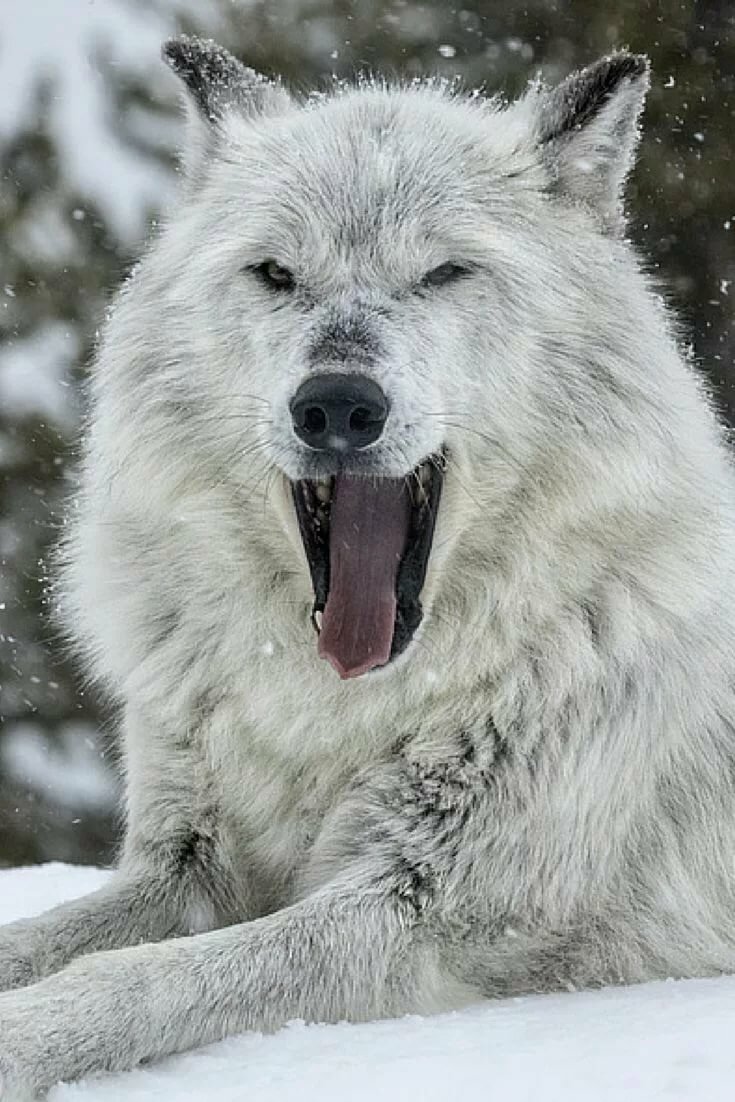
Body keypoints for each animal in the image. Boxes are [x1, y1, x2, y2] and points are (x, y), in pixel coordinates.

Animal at [1, 34, 735, 1098]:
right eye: (275, 273)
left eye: (443, 273)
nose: (337, 404)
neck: (335, 711)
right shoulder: (184, 865)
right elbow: (52, 938)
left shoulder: (422, 911)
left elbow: (136, 978)